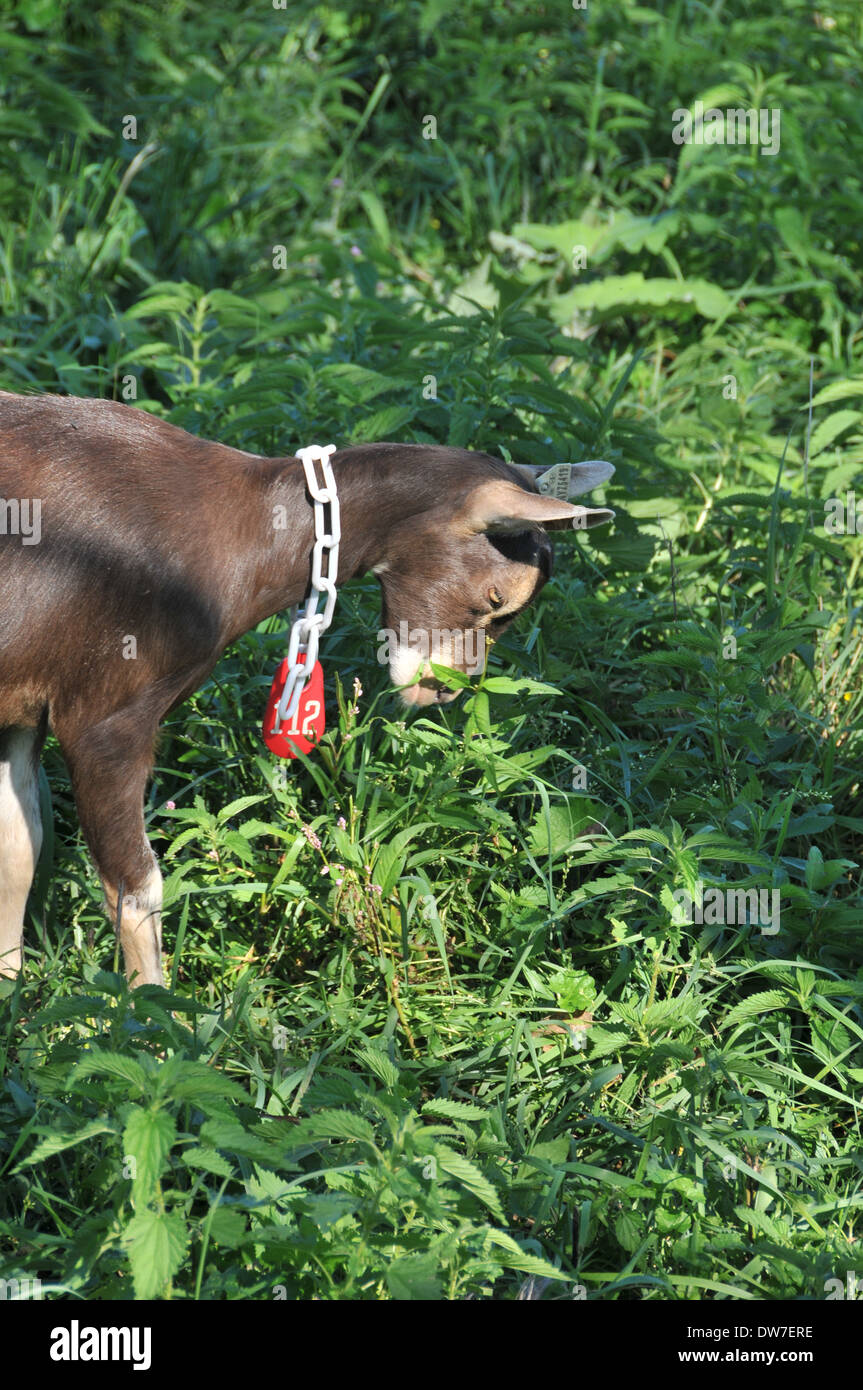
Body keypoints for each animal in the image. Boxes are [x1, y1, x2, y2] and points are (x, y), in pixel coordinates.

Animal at [0, 391, 613, 987]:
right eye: (495, 597)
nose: (444, 691)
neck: (244, 529)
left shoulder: (21, 713)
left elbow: (17, 850)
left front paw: (11, 991)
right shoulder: (105, 719)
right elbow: (137, 890)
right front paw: (156, 1014)